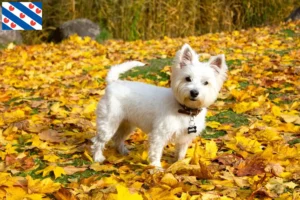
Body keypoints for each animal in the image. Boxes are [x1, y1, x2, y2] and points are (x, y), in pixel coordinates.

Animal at [91, 43, 227, 167]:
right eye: (188, 78)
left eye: (206, 83)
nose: (194, 92)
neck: (185, 110)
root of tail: (113, 83)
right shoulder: (159, 134)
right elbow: (156, 153)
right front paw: (156, 169)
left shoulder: (184, 138)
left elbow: (181, 153)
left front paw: (179, 164)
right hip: (109, 123)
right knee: (98, 141)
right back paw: (98, 157)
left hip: (127, 124)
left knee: (118, 138)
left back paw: (123, 151)